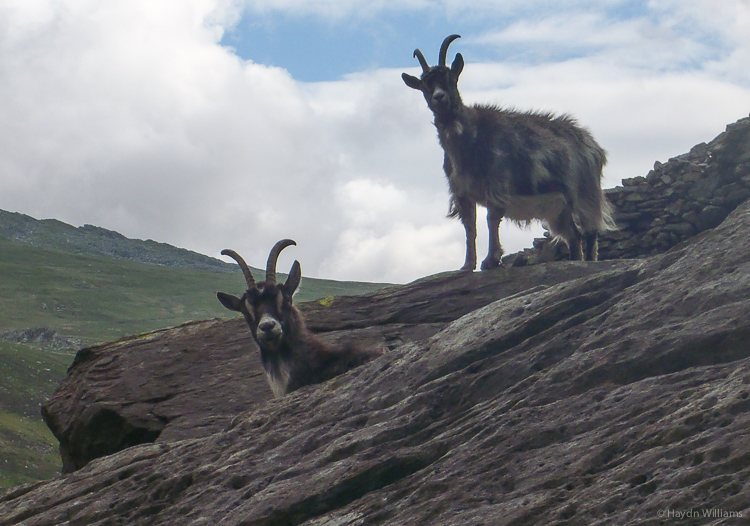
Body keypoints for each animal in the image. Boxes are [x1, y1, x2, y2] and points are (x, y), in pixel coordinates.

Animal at [402, 35, 612, 270]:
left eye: (450, 78)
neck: (469, 139)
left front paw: (491, 260)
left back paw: (590, 261)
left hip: (585, 191)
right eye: (424, 86)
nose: (440, 97)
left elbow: (492, 220)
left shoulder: (497, 183)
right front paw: (468, 264)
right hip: (558, 207)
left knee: (590, 230)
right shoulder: (463, 192)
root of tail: (594, 146)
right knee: (574, 236)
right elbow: (470, 227)